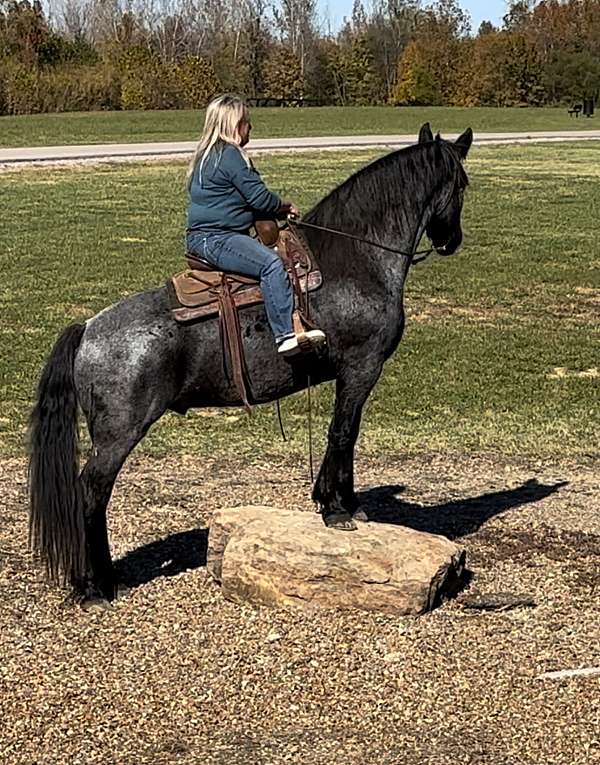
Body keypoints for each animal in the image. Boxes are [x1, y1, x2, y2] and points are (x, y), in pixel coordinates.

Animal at [29, 124, 474, 604]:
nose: (452, 241)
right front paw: (338, 509)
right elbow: (344, 433)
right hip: (118, 436)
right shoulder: (361, 367)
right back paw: (98, 585)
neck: (357, 260)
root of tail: (88, 328)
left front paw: (333, 501)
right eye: (462, 185)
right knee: (91, 493)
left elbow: (342, 434)